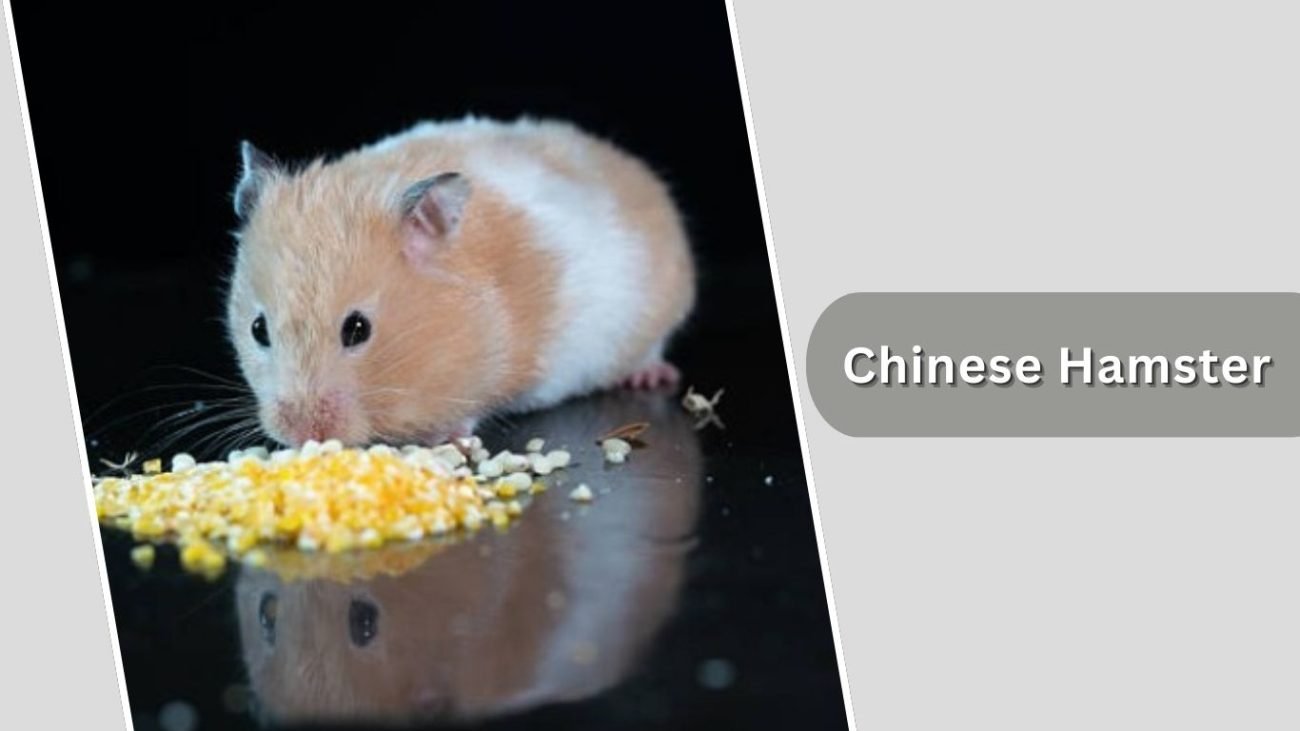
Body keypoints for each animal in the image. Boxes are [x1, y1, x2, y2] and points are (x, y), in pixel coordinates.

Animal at [225, 116, 696, 447]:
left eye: (357, 329)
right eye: (258, 329)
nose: (302, 435)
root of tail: (623, 160)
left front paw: (442, 436)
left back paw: (649, 376)